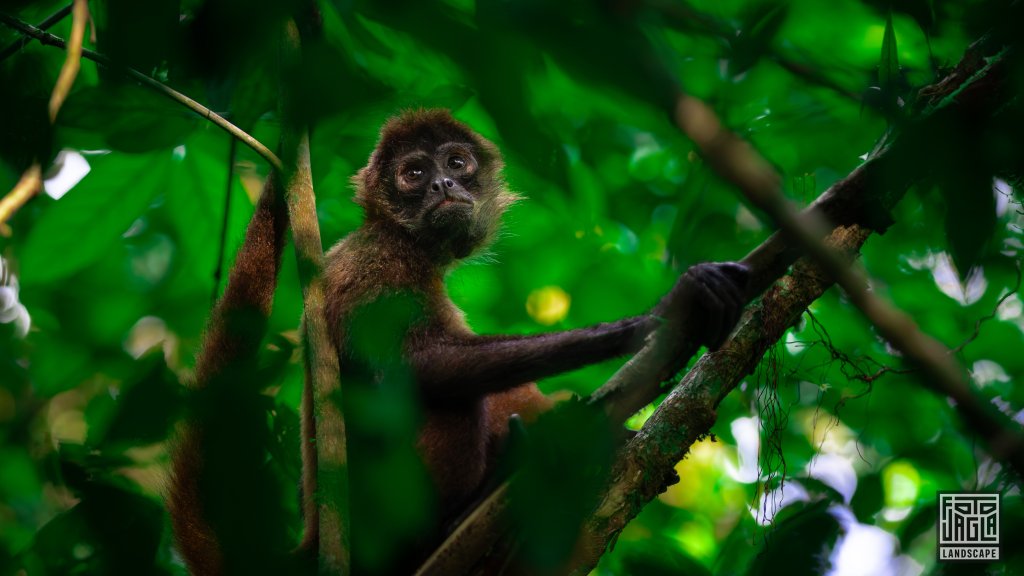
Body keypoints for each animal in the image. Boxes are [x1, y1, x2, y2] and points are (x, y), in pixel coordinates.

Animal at [168, 108, 748, 575]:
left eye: (456, 162)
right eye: (414, 173)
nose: (443, 186)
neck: (405, 240)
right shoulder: (375, 262)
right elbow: (423, 365)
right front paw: (657, 319)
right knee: (455, 401)